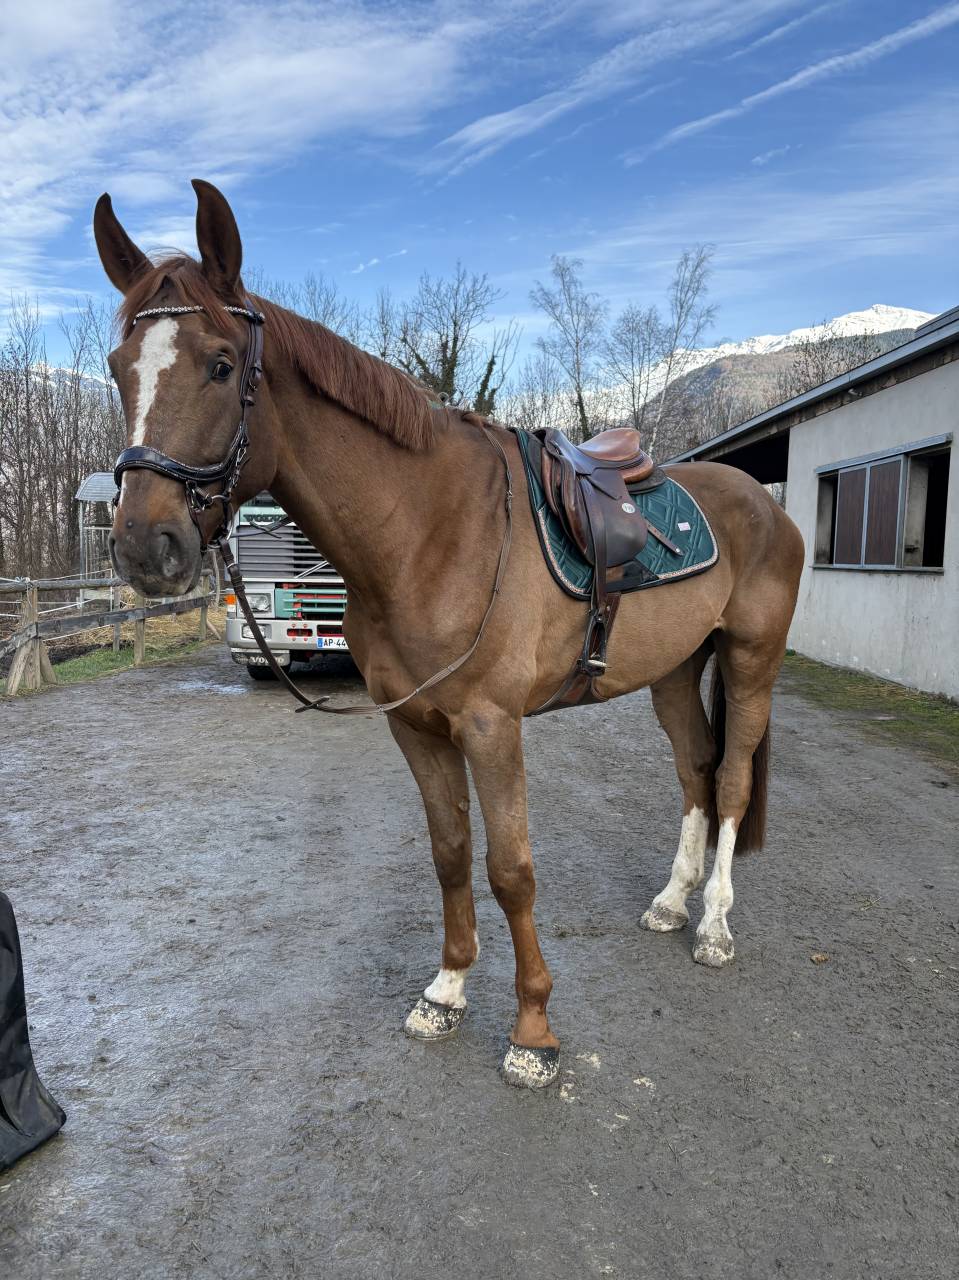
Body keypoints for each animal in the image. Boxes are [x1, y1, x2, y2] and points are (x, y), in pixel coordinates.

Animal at [94, 180, 804, 1089]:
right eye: (119, 369)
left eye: (220, 364)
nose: (146, 548)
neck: (427, 531)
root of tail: (759, 500)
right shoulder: (416, 725)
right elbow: (449, 852)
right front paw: (446, 991)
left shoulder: (491, 729)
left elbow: (510, 870)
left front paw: (532, 1031)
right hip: (675, 671)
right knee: (695, 770)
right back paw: (670, 903)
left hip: (750, 662)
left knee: (733, 781)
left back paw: (712, 926)